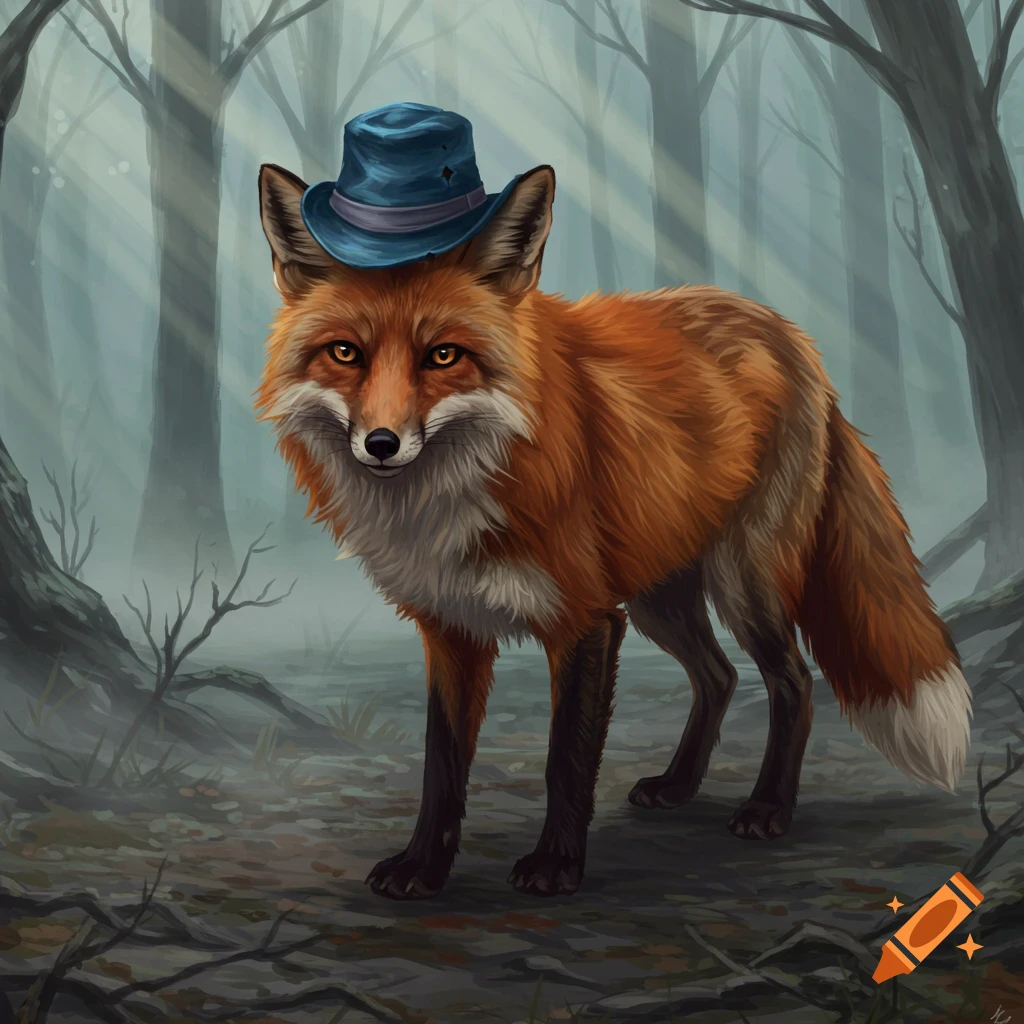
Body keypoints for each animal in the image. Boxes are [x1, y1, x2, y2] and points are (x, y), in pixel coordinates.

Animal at [256, 161, 972, 901]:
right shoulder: (451, 626)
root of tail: (791, 334)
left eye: (444, 356)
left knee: (794, 681)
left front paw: (556, 865)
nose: (381, 443)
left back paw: (768, 808)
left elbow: (564, 761)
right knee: (717, 675)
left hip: (743, 582)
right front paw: (424, 866)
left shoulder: (586, 621)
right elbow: (442, 767)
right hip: (658, 594)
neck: (453, 494)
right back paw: (680, 785)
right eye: (346, 353)